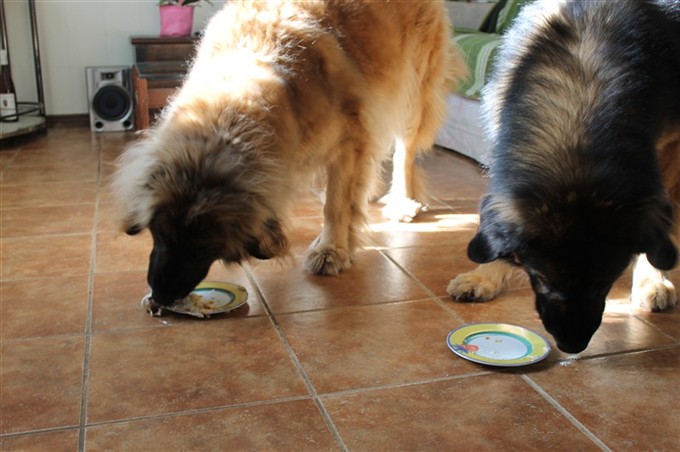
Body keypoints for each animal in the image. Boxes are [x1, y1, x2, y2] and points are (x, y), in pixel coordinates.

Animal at [115, 0, 468, 308]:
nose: (160, 296)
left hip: (411, 87)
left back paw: (402, 200)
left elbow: (335, 205)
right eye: (159, 233)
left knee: (404, 151)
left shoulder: (348, 139)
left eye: (204, 245)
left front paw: (331, 249)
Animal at [446, 0, 680, 354]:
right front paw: (484, 275)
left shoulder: (668, 145)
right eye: (543, 280)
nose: (572, 346)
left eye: (605, 283)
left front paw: (652, 278)